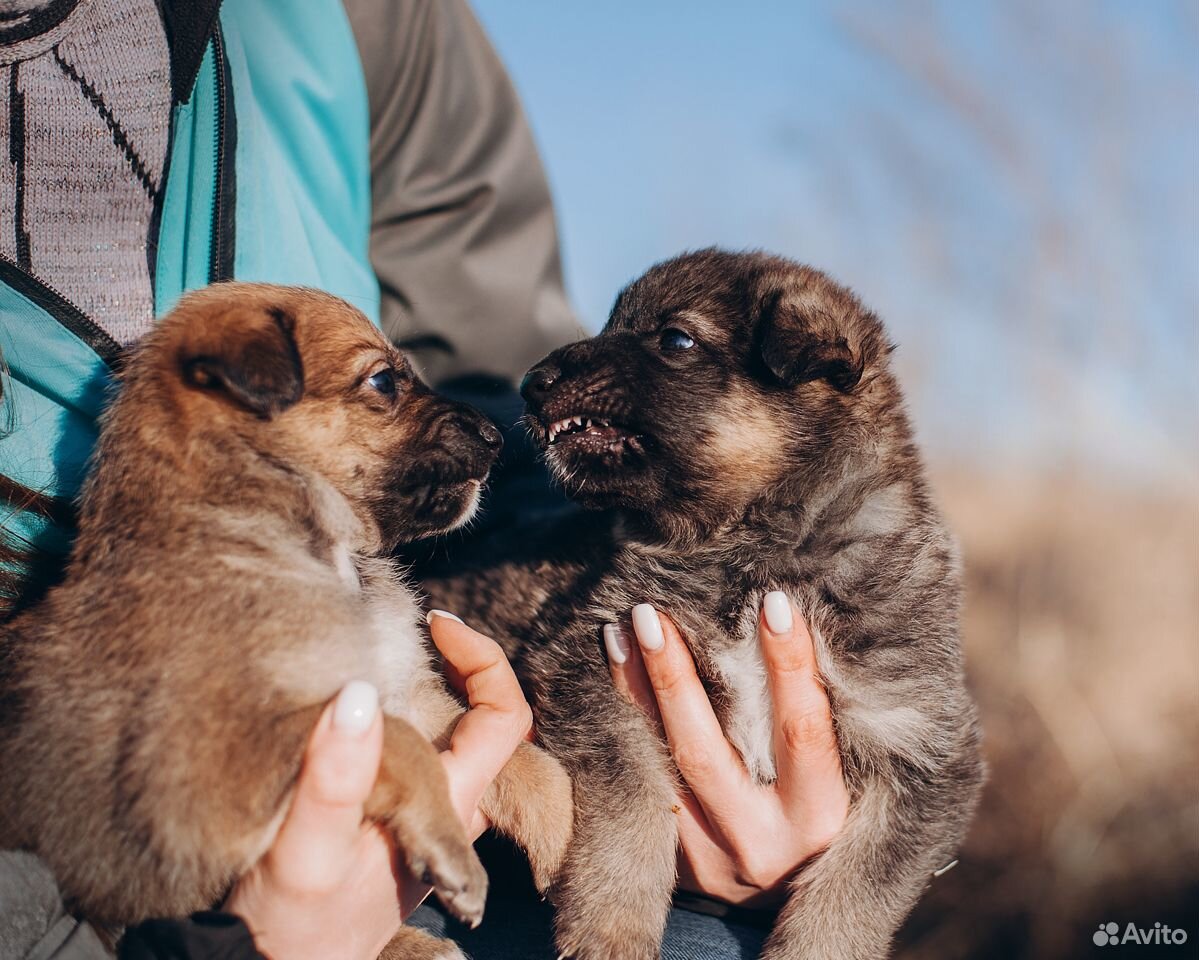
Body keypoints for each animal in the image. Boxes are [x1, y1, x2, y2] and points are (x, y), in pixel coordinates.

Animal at [0, 285, 573, 958]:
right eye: (383, 381)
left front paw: (562, 841)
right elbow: (402, 746)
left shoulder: (404, 691)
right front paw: (455, 855)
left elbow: (525, 758)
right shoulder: (209, 773)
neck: (324, 560)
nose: (498, 435)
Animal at [426, 249, 987, 958]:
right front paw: (613, 927)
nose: (531, 381)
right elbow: (634, 802)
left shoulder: (921, 750)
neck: (755, 551)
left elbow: (853, 891)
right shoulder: (591, 659)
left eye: (675, 340)